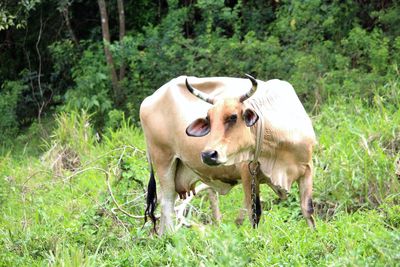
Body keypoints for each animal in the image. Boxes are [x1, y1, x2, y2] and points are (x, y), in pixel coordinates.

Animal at [141, 75, 316, 234]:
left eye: (233, 117)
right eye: (208, 118)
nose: (208, 155)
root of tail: (148, 100)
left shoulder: (307, 169)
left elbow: (307, 209)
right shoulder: (247, 172)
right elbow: (254, 213)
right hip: (163, 160)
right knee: (167, 202)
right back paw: (171, 237)